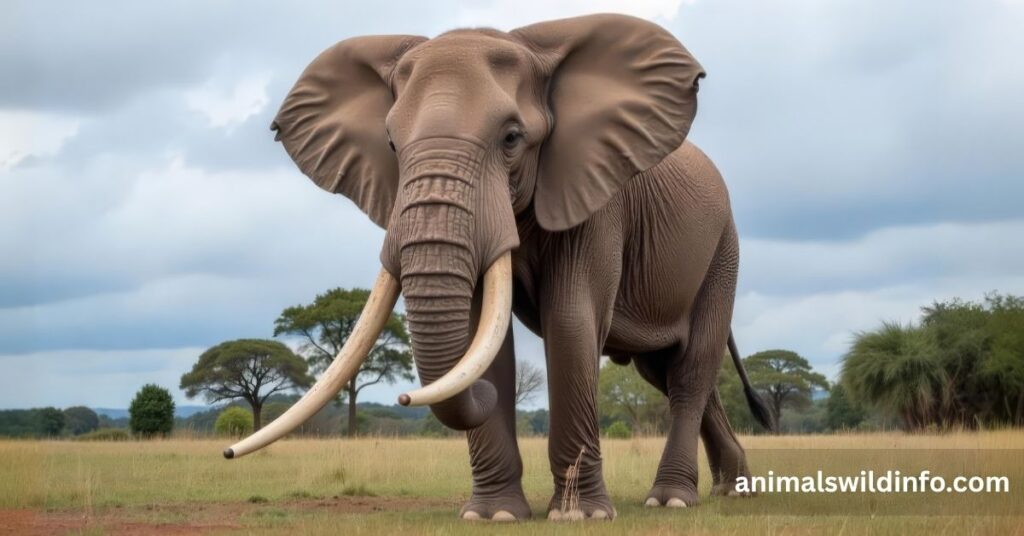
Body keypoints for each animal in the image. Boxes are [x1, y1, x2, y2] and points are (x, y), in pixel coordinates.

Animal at [223, 13, 774, 522]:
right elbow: (479, 335)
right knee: (666, 370)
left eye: (511, 138)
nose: (403, 399)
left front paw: (579, 515)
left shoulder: (597, 197)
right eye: (392, 145)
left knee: (690, 369)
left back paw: (672, 500)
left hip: (723, 250)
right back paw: (731, 490)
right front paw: (494, 516)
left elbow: (570, 322)